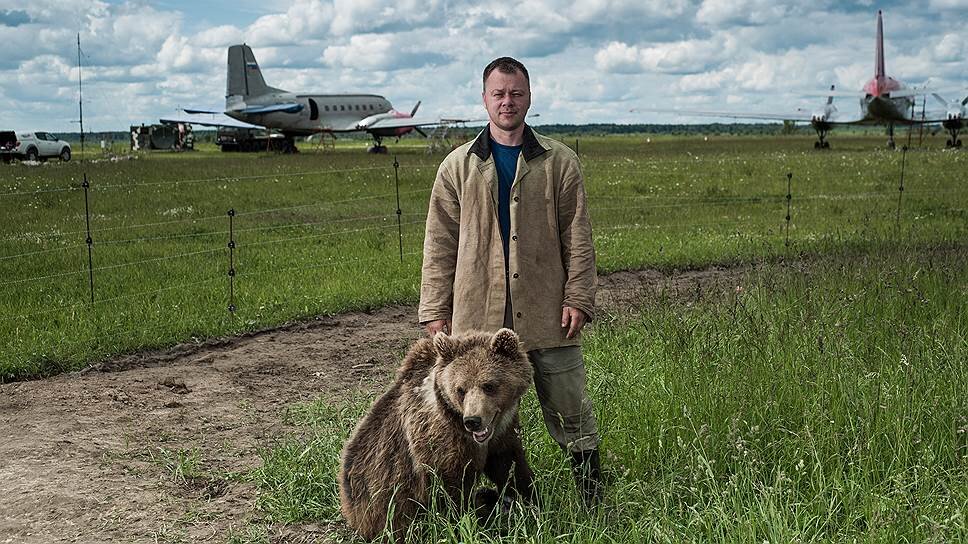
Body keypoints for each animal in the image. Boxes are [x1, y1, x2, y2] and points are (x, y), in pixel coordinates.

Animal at [338, 326, 536, 540]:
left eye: (489, 385)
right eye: (460, 389)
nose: (473, 421)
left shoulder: (502, 433)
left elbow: (509, 466)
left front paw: (529, 502)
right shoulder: (441, 443)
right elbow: (452, 490)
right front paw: (471, 522)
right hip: (383, 507)